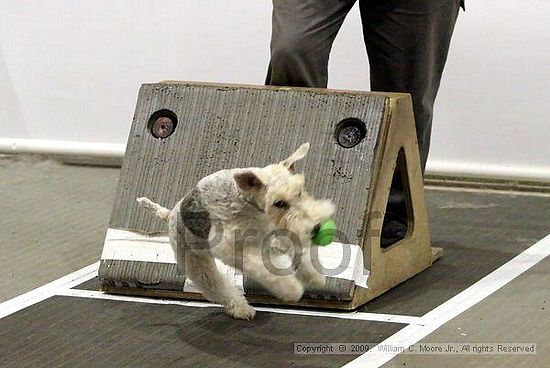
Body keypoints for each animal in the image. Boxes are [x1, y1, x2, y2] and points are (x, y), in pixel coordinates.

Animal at [138, 142, 336, 320]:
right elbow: (266, 268)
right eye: (279, 203)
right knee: (218, 287)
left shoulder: (274, 233)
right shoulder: (232, 248)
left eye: (300, 192)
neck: (245, 200)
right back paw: (241, 310)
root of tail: (171, 213)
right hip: (197, 264)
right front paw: (291, 290)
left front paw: (314, 277)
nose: (317, 227)